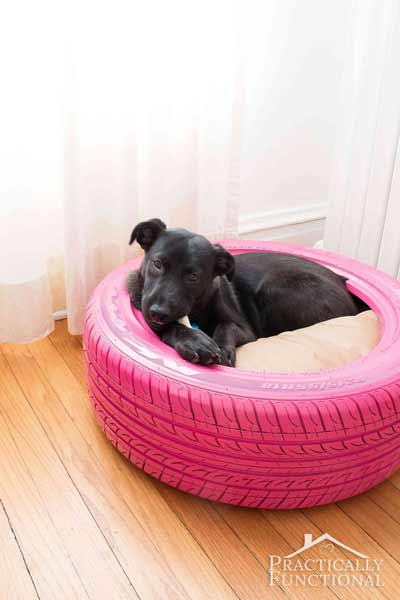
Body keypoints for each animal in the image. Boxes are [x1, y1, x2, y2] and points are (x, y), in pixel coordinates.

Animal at [126, 220, 364, 368]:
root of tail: (343, 283)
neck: (197, 309)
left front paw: (221, 348)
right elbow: (171, 327)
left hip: (275, 288)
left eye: (193, 277)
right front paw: (195, 342)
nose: (157, 313)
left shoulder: (245, 328)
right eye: (157, 263)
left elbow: (225, 326)